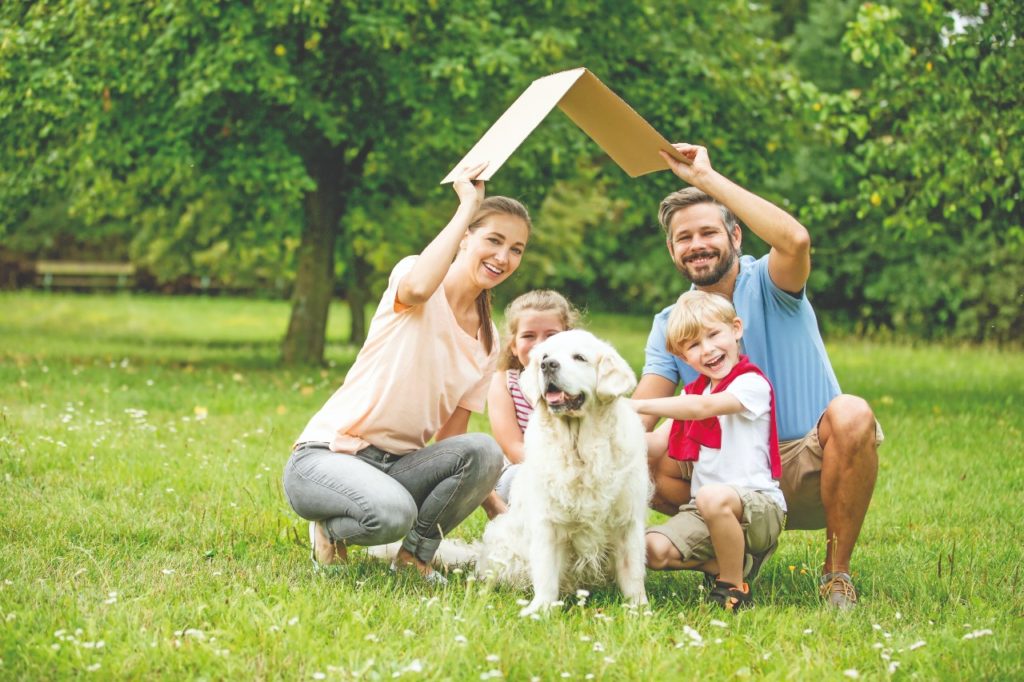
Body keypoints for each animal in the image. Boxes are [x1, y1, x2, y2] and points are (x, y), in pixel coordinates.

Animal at [477, 327, 651, 614]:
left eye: (579, 357)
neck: (579, 449)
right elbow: (546, 572)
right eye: (545, 356)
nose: (548, 365)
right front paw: (539, 610)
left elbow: (633, 573)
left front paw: (639, 610)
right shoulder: (547, 521)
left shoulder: (627, 521)